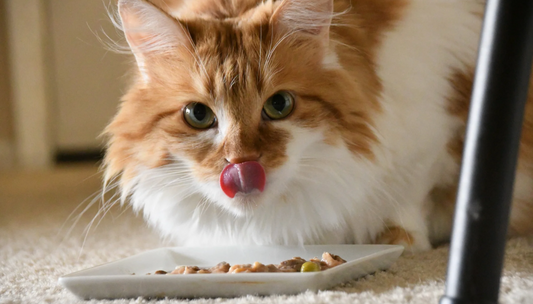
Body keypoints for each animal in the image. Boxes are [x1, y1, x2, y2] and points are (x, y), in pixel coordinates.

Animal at [104, 0, 532, 252]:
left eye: (279, 105)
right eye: (198, 115)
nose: (242, 164)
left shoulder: (438, 125)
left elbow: (411, 196)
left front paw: (401, 240)